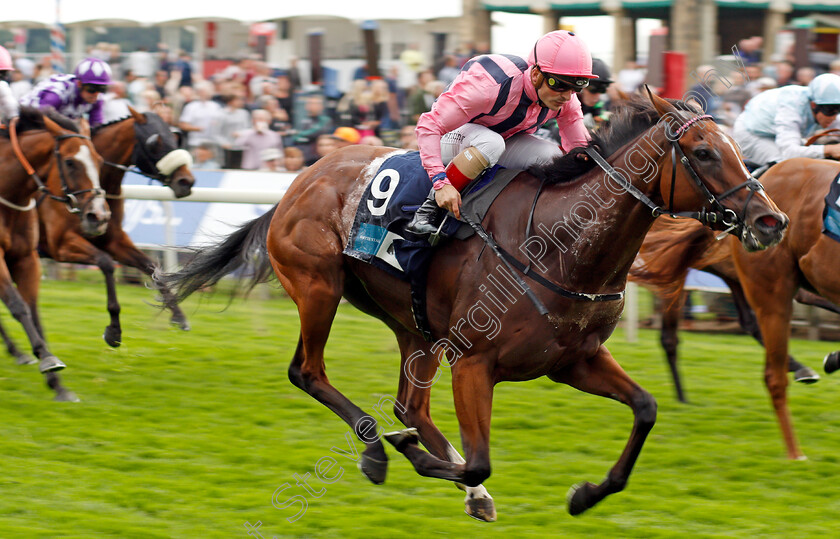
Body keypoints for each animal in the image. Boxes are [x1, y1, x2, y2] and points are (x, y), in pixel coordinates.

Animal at [0, 106, 110, 400]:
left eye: (99, 160)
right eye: (70, 162)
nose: (99, 216)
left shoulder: (27, 258)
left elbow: (33, 311)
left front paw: (57, 384)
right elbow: (18, 306)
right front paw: (48, 360)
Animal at [0, 107, 195, 358]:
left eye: (175, 136)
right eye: (155, 142)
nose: (186, 181)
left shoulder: (113, 239)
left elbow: (151, 266)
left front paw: (179, 317)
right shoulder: (61, 245)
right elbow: (105, 262)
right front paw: (113, 331)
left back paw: (16, 350)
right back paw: (17, 350)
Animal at [159, 95, 788, 520]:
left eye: (739, 150)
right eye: (704, 152)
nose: (771, 220)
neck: (562, 244)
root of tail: (299, 180)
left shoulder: (574, 360)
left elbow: (647, 408)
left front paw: (585, 495)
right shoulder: (475, 363)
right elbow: (480, 457)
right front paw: (422, 460)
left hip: (413, 324)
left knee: (411, 406)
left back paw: (441, 472)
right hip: (319, 286)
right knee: (308, 371)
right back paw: (379, 451)